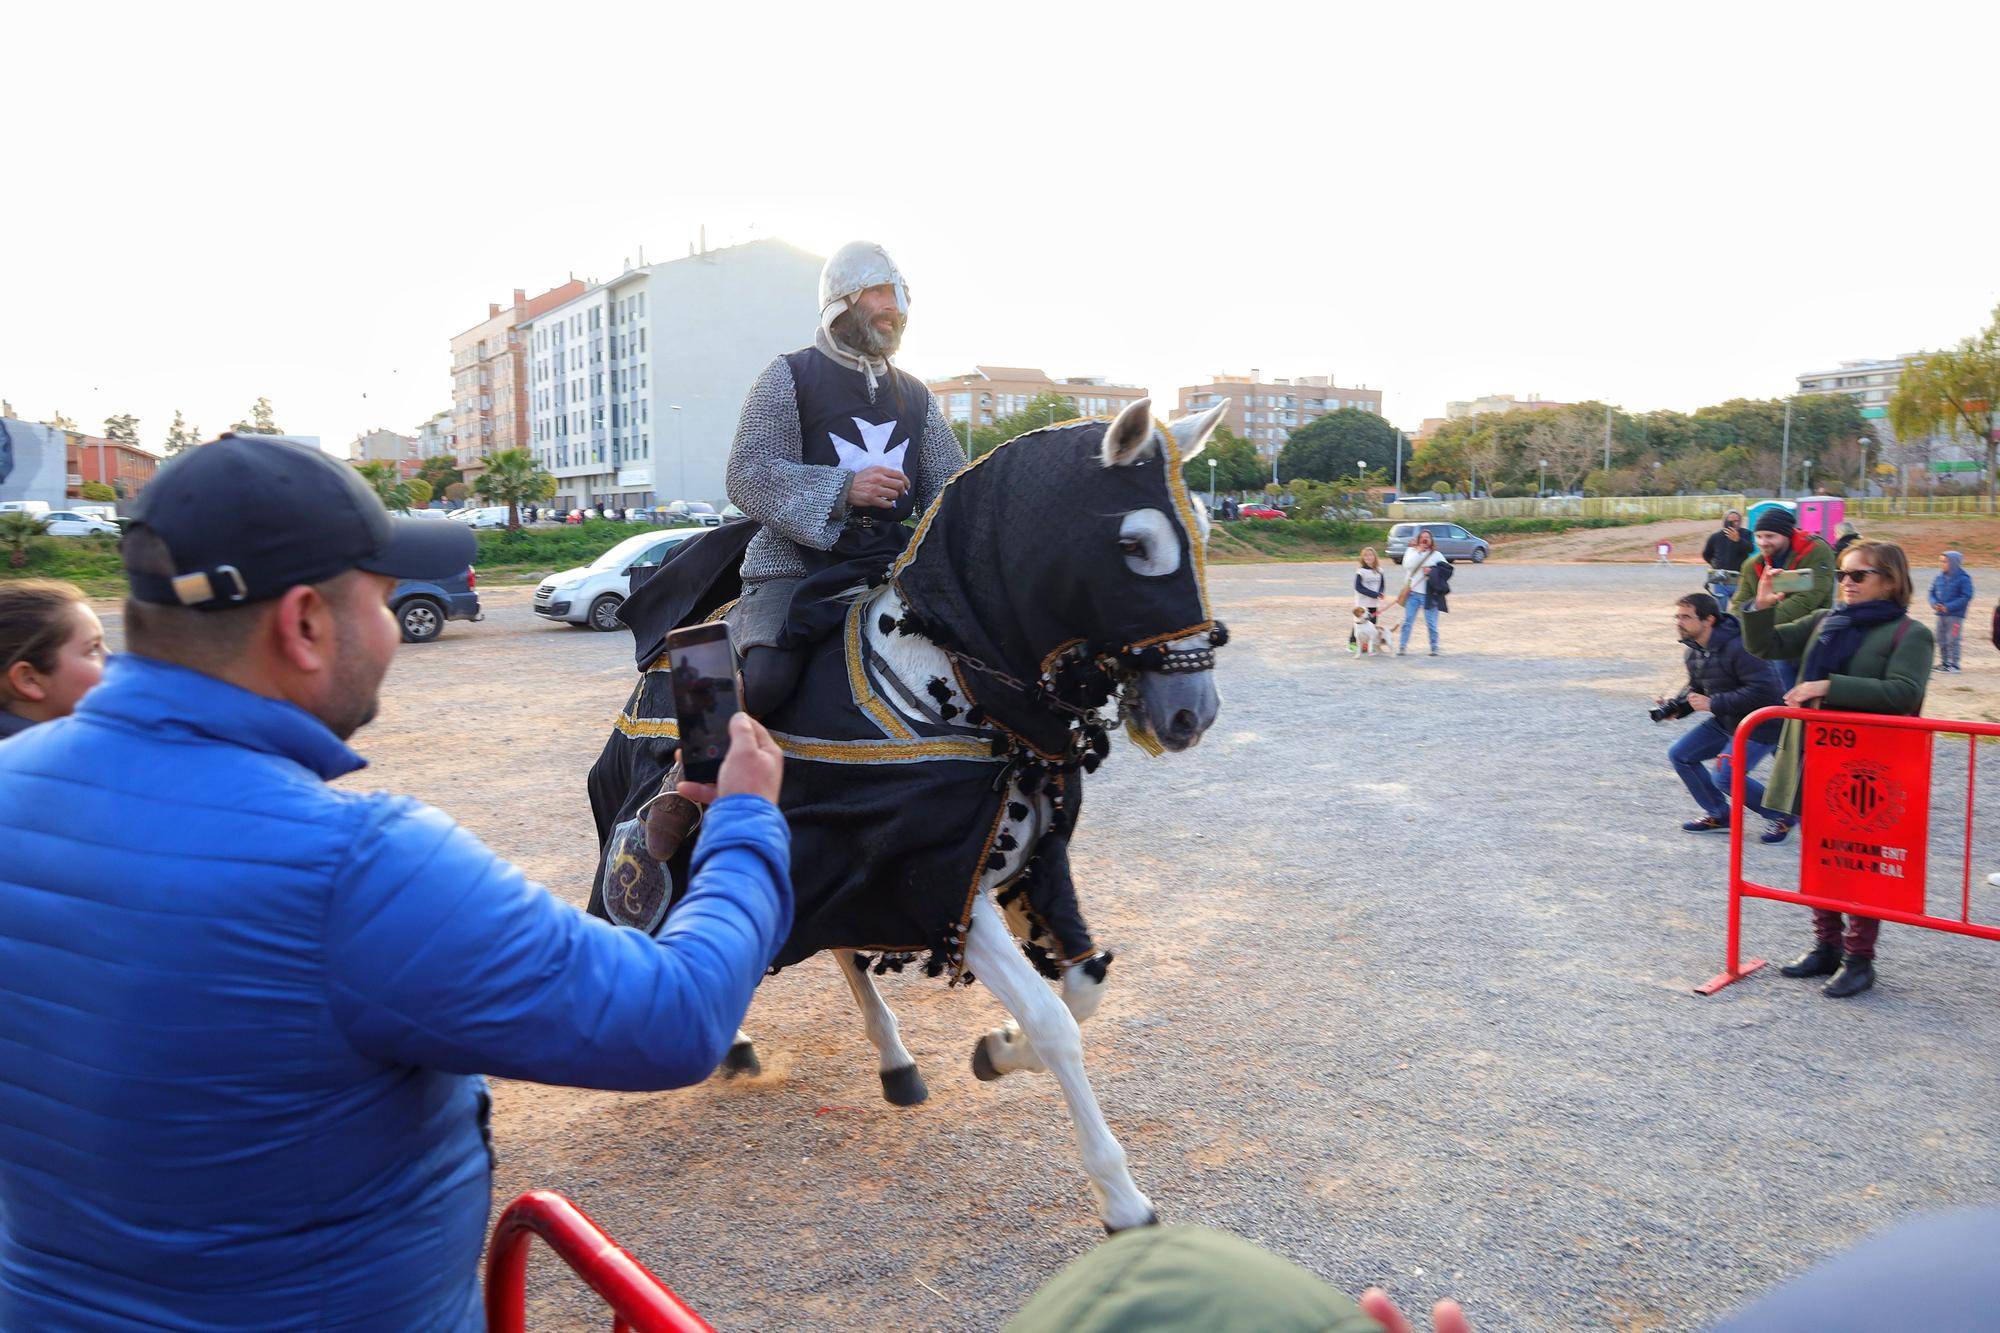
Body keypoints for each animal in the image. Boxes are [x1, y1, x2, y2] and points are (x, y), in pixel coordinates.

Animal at [584, 392, 1224, 1224]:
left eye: (1205, 529)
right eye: (1134, 544)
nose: (1191, 712)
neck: (948, 682)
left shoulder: (1026, 864)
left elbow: (1084, 992)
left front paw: (997, 1049)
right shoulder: (939, 884)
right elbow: (1057, 1024)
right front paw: (1120, 1196)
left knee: (841, 949)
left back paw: (894, 1058)